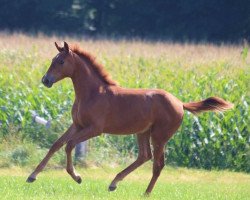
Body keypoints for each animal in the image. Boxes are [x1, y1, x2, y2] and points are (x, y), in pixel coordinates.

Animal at [26, 41, 233, 194]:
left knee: (158, 164)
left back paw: (145, 193)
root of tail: (180, 103)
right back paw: (114, 183)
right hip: (143, 132)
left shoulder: (95, 129)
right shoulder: (77, 125)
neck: (92, 93)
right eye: (53, 59)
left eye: (61, 61)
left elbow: (69, 145)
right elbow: (56, 144)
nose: (46, 80)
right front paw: (32, 176)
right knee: (144, 156)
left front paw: (77, 177)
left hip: (159, 136)